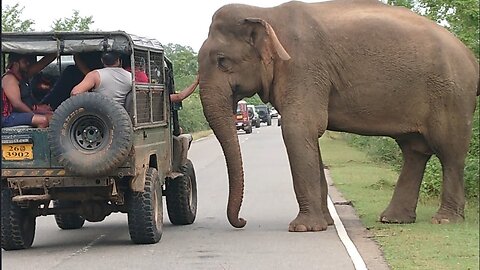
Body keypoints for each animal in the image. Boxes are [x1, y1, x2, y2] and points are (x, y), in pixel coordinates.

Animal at [197, 0, 478, 232]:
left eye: (222, 61)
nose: (242, 221)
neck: (265, 13)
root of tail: (471, 56)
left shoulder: (303, 66)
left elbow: (298, 128)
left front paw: (304, 228)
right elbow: (308, 135)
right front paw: (325, 223)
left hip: (452, 95)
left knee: (449, 152)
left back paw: (444, 220)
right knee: (414, 149)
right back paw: (393, 219)